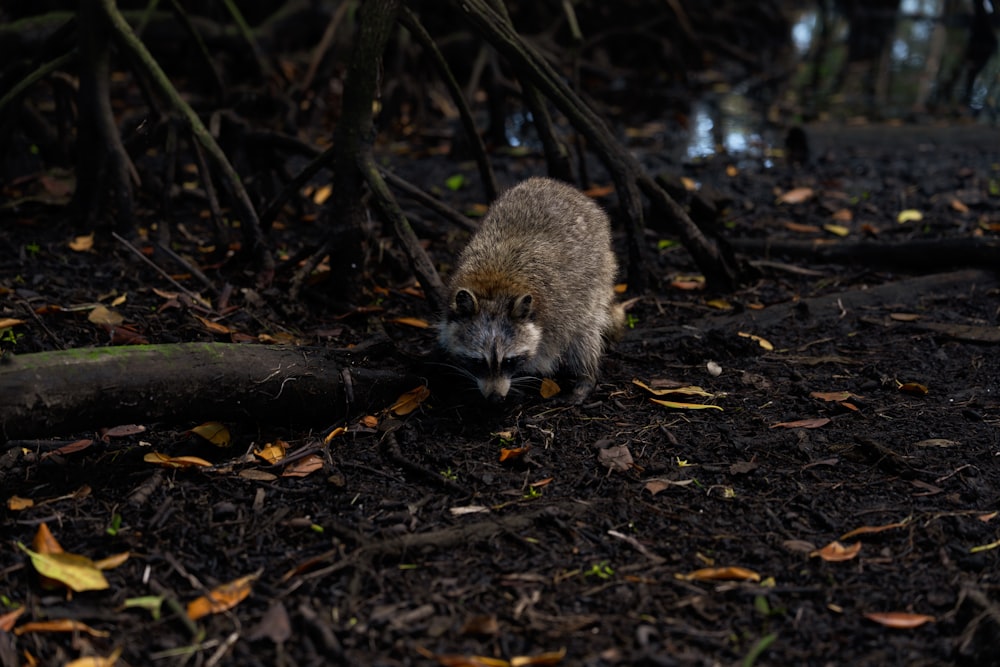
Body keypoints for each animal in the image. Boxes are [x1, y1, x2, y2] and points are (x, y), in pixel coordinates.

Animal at [440, 177, 624, 402]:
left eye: (509, 361)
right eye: (478, 362)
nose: (495, 398)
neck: (495, 288)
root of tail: (559, 185)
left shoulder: (560, 313)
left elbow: (555, 349)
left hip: (598, 274)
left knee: (586, 331)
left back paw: (585, 378)